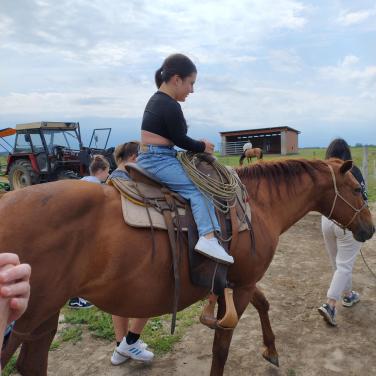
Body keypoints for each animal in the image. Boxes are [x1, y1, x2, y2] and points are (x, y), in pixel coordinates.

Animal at [0, 157, 374, 374]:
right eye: (357, 189)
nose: (369, 229)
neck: (258, 205)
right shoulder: (243, 284)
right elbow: (221, 347)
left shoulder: (239, 281)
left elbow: (264, 304)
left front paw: (270, 349)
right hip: (28, 315)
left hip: (44, 316)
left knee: (31, 363)